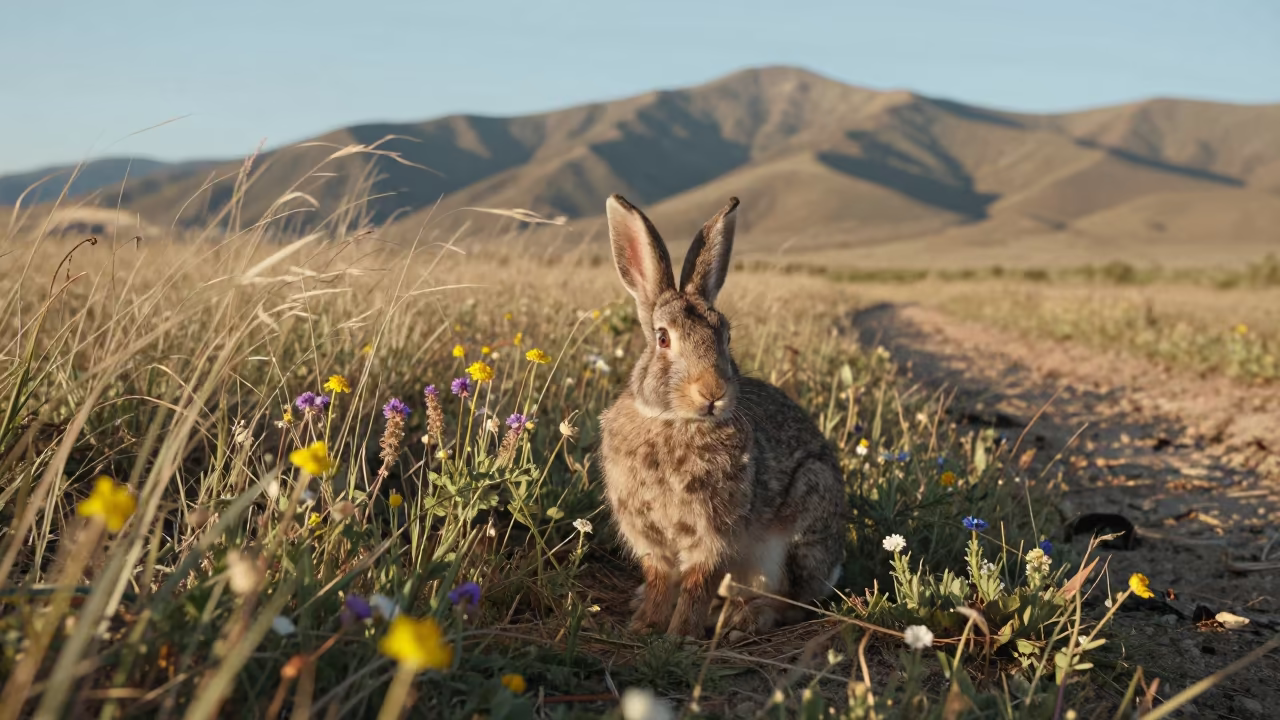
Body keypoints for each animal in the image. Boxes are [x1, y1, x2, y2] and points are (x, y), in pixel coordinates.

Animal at [598, 194, 848, 639]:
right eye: (663, 338)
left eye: (727, 337)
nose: (712, 391)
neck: (676, 423)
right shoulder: (649, 537)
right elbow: (660, 578)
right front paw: (644, 626)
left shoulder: (713, 536)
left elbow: (698, 582)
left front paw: (679, 635)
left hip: (791, 538)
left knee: (790, 603)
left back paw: (741, 619)